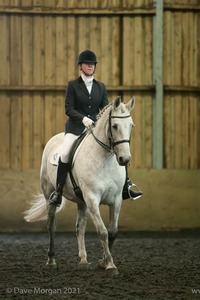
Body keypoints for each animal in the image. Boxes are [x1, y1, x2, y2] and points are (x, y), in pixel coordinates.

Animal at [23, 96, 136, 274]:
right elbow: (102, 231)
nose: (125, 159)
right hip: (50, 194)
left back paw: (83, 260)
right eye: (115, 126)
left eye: (131, 126)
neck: (105, 159)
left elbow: (112, 232)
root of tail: (54, 139)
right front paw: (110, 265)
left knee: (80, 227)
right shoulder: (92, 199)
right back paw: (51, 260)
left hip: (82, 201)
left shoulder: (116, 200)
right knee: (51, 225)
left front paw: (103, 261)